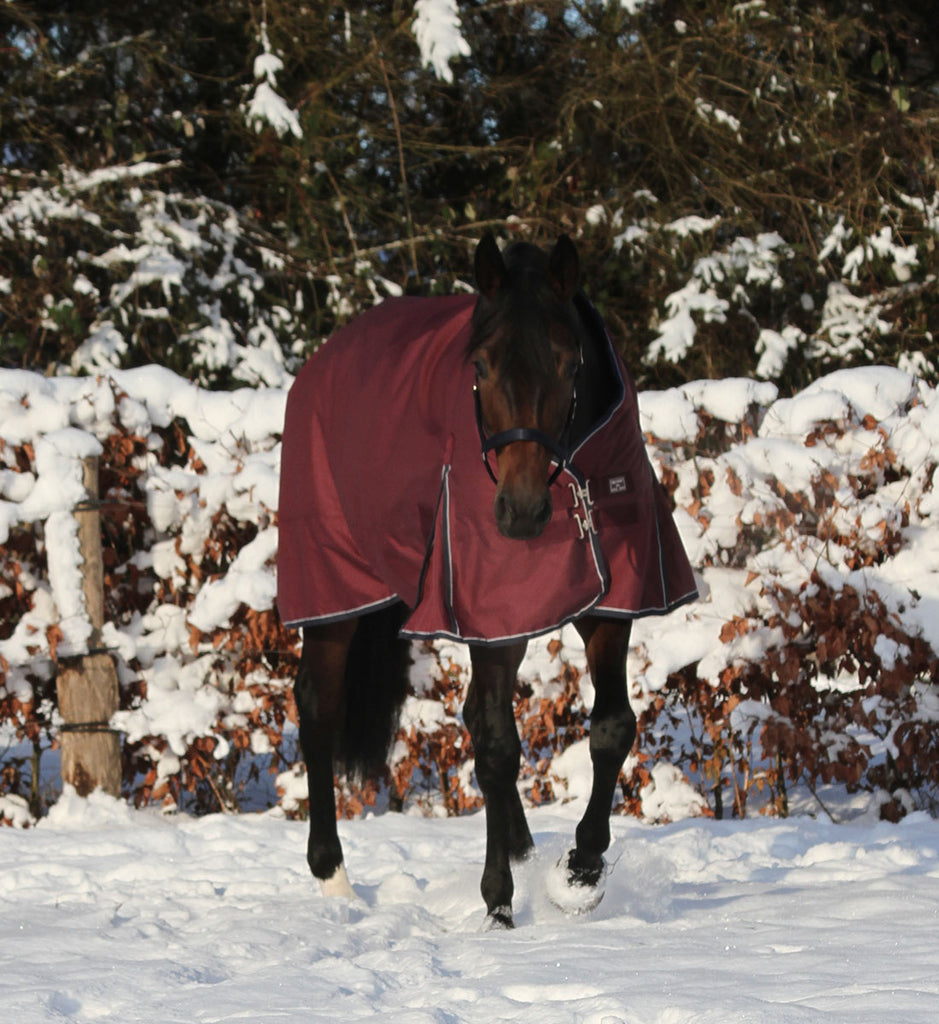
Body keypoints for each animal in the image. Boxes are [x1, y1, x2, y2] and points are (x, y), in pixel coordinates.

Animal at [274, 230, 692, 929]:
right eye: (480, 368)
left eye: (569, 364)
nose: (520, 513)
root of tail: (324, 359)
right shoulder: (486, 611)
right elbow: (497, 747)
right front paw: (498, 901)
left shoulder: (604, 607)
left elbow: (611, 728)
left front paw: (579, 873)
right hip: (336, 592)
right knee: (318, 706)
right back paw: (333, 877)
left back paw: (524, 849)